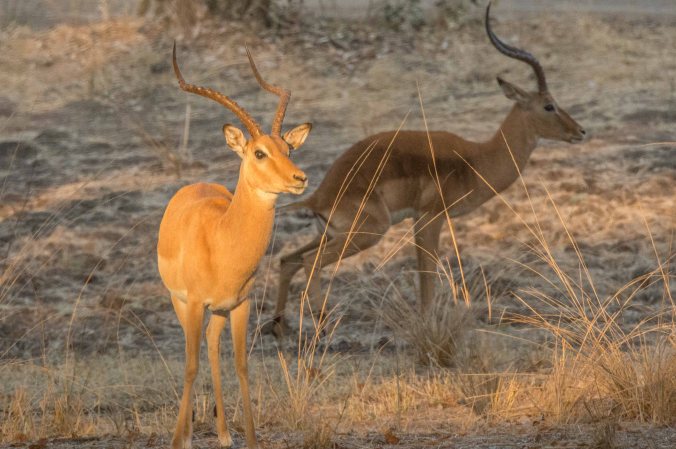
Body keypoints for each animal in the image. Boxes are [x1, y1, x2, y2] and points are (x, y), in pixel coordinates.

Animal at [158, 44, 311, 449]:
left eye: (287, 147)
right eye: (259, 153)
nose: (300, 178)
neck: (223, 242)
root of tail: (195, 185)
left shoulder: (240, 305)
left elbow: (242, 365)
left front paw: (250, 439)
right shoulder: (195, 303)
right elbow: (190, 365)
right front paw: (180, 439)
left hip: (220, 311)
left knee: (212, 344)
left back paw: (225, 433)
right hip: (179, 302)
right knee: (194, 352)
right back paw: (188, 431)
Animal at [265, 3, 585, 337]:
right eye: (549, 105)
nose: (580, 131)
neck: (476, 159)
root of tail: (321, 195)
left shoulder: (421, 221)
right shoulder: (429, 218)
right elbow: (427, 275)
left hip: (331, 234)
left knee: (288, 260)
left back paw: (277, 327)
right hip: (366, 233)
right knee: (310, 262)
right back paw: (323, 325)